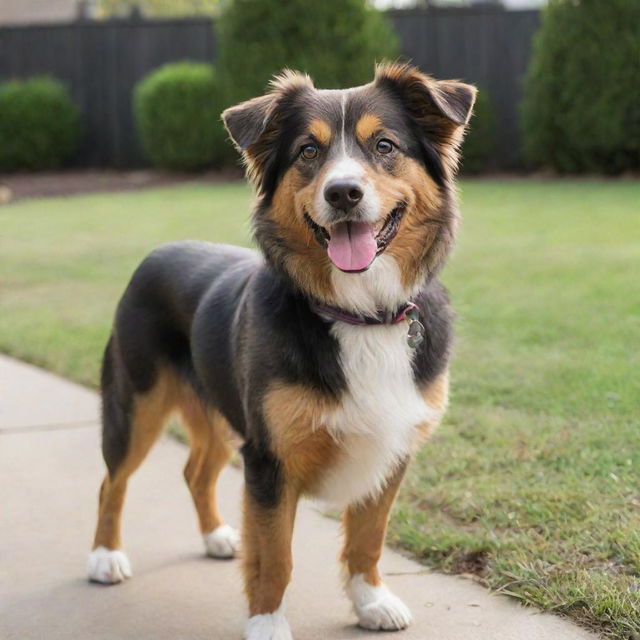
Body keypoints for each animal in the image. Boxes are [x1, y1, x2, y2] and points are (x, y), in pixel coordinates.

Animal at [86, 61, 476, 640]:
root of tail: (159, 250)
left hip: (223, 414)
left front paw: (370, 600)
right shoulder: (269, 458)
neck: (359, 313)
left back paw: (215, 536)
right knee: (112, 482)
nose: (343, 194)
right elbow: (275, 556)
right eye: (307, 152)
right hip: (136, 406)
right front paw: (267, 623)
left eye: (384, 145)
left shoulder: (391, 448)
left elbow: (368, 537)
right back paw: (105, 557)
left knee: (195, 472)